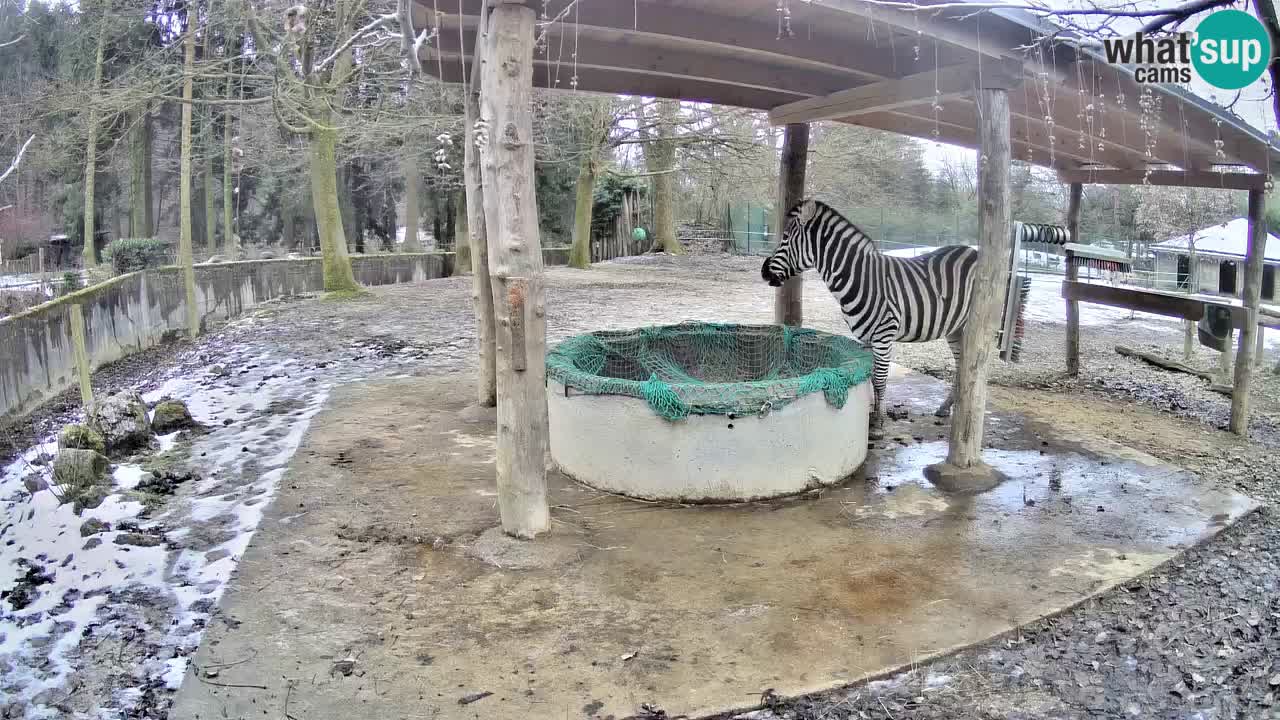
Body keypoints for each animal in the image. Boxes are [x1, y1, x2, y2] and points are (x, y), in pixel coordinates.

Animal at [757, 196, 977, 435]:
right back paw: (945, 407)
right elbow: (871, 377)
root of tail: (974, 251)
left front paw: (879, 423)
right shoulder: (868, 338)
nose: (763, 271)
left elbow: (879, 379)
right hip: (956, 328)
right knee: (962, 366)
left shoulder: (883, 334)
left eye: (786, 238)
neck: (859, 278)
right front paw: (872, 415)